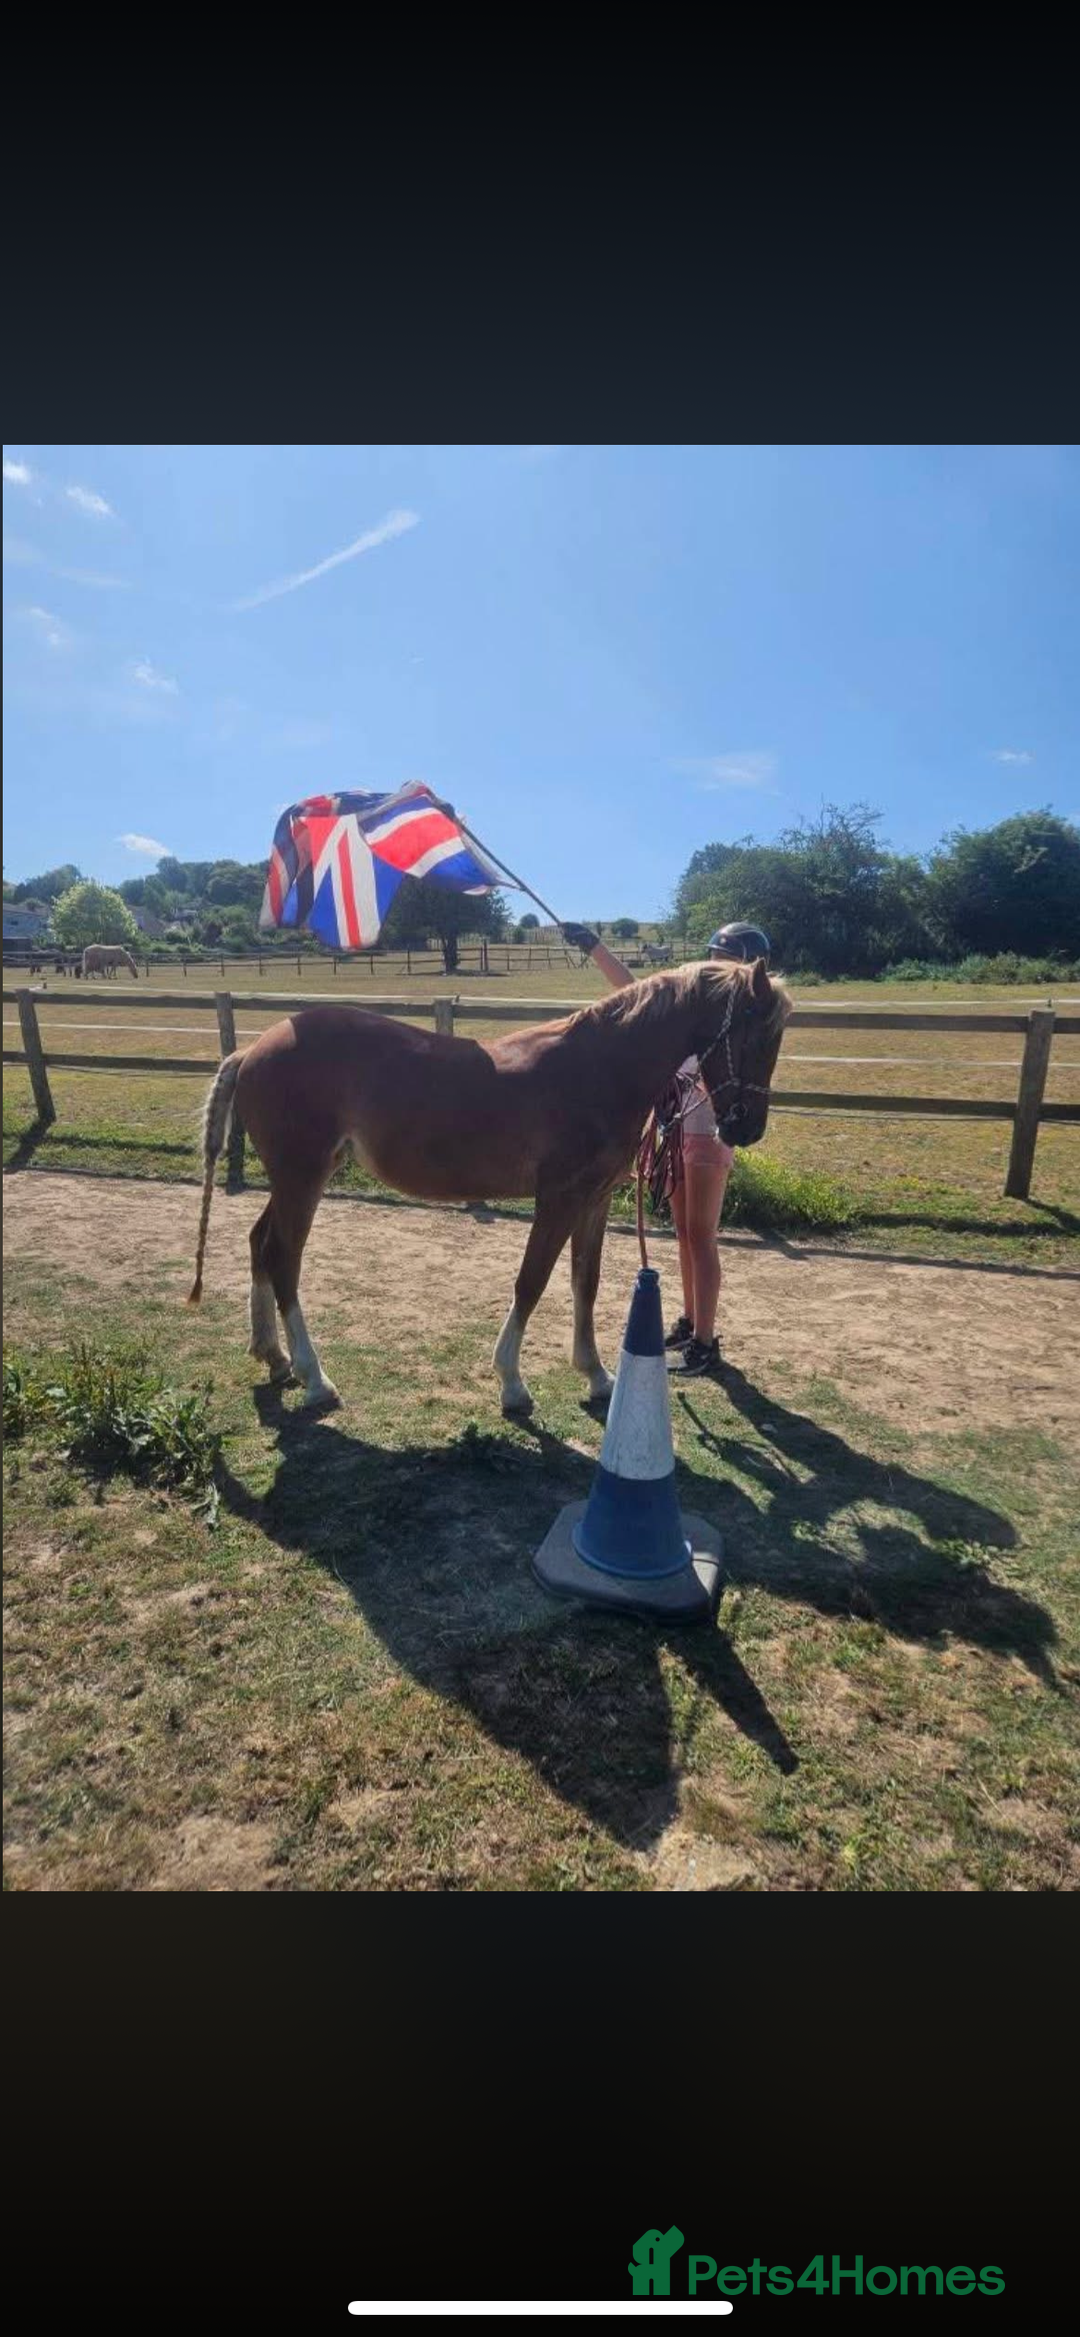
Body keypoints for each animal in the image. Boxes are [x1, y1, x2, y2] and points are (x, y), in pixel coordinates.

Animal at [188, 958, 792, 1413]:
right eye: (758, 1034)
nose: (746, 1127)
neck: (600, 1068)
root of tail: (252, 1049)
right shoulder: (558, 1199)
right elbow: (532, 1282)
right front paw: (513, 1383)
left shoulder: (593, 1200)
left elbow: (586, 1283)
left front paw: (596, 1375)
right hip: (302, 1179)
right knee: (284, 1259)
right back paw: (315, 1378)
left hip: (293, 1181)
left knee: (260, 1244)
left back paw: (274, 1356)